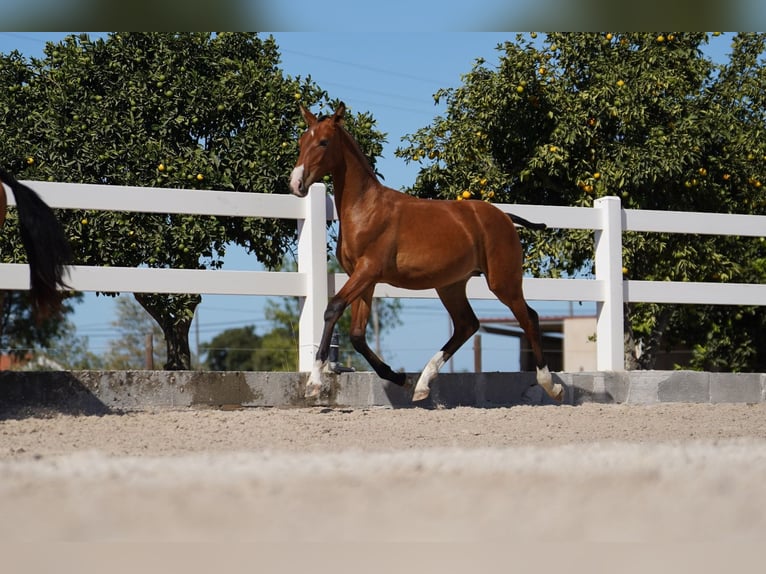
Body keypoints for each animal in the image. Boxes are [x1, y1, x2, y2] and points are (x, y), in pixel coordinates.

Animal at [288, 103, 564, 404]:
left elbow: (333, 308)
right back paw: (421, 385)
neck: (365, 209)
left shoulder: (368, 271)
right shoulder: (364, 279)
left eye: (324, 142)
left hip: (503, 282)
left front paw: (314, 383)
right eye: (301, 142)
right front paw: (398, 378)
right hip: (451, 285)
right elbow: (358, 335)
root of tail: (504, 216)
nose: (296, 184)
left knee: (529, 317)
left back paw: (551, 385)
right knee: (467, 325)